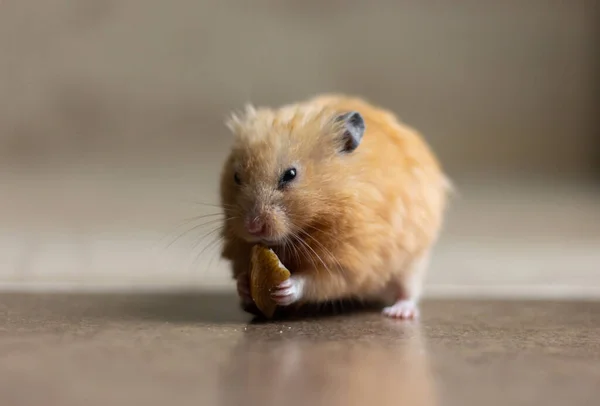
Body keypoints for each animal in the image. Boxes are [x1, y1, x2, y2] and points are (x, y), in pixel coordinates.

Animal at [218, 95, 448, 320]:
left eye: (290, 175)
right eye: (236, 177)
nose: (253, 228)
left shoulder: (348, 258)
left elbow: (316, 280)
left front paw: (285, 288)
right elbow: (241, 274)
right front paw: (244, 285)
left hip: (413, 261)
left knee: (408, 291)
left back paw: (398, 313)